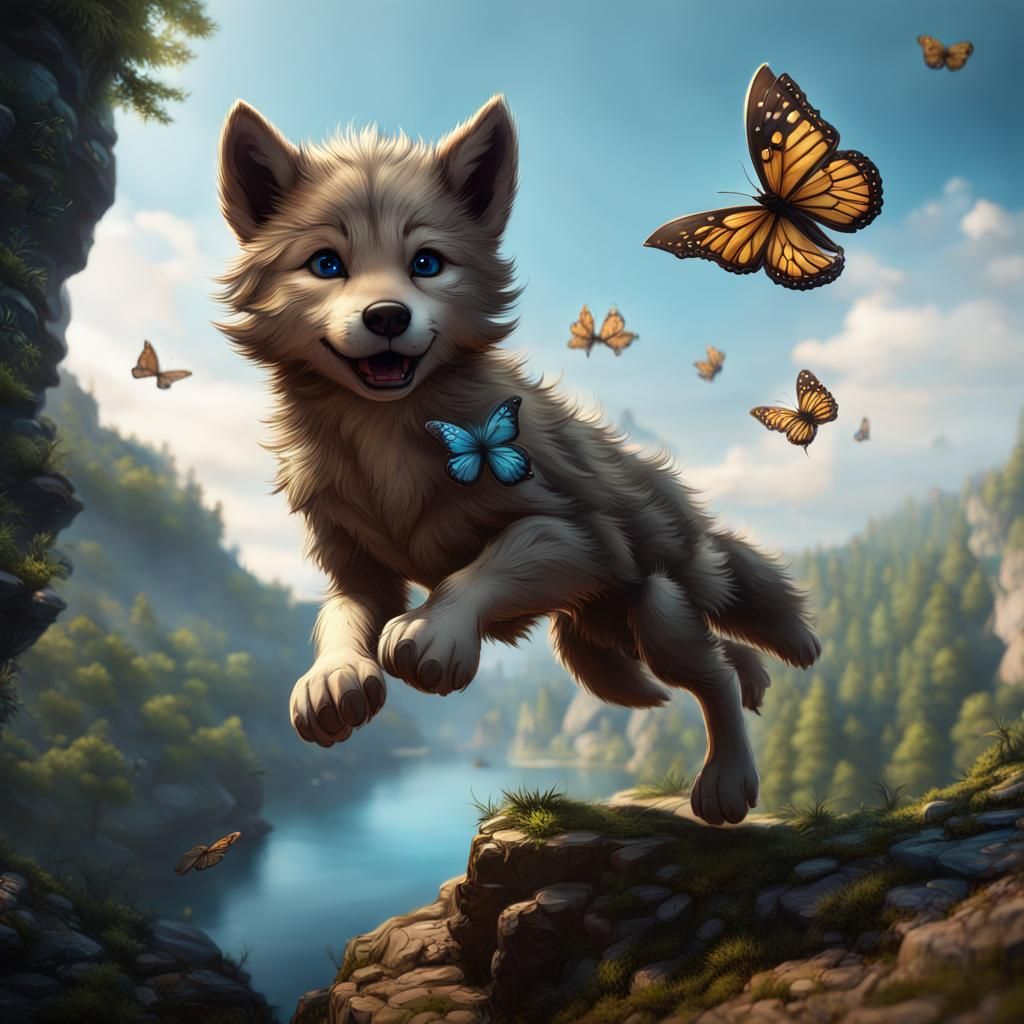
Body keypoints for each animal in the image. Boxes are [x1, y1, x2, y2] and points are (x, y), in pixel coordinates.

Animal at [215, 95, 821, 825]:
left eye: (427, 263)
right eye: (326, 264)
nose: (387, 316)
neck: (385, 436)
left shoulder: (579, 534)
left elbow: (483, 566)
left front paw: (431, 635)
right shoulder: (356, 567)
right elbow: (339, 614)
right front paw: (332, 680)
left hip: (651, 607)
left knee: (713, 674)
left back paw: (727, 781)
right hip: (607, 633)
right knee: (722, 655)